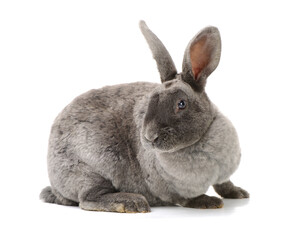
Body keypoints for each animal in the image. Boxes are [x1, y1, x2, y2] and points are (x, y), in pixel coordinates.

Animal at [40, 20, 250, 212]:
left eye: (181, 104)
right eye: (149, 102)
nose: (150, 137)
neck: (198, 141)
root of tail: (55, 186)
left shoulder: (223, 174)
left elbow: (224, 183)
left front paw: (239, 193)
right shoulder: (169, 188)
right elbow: (184, 199)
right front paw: (208, 202)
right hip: (89, 169)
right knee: (87, 199)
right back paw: (132, 203)